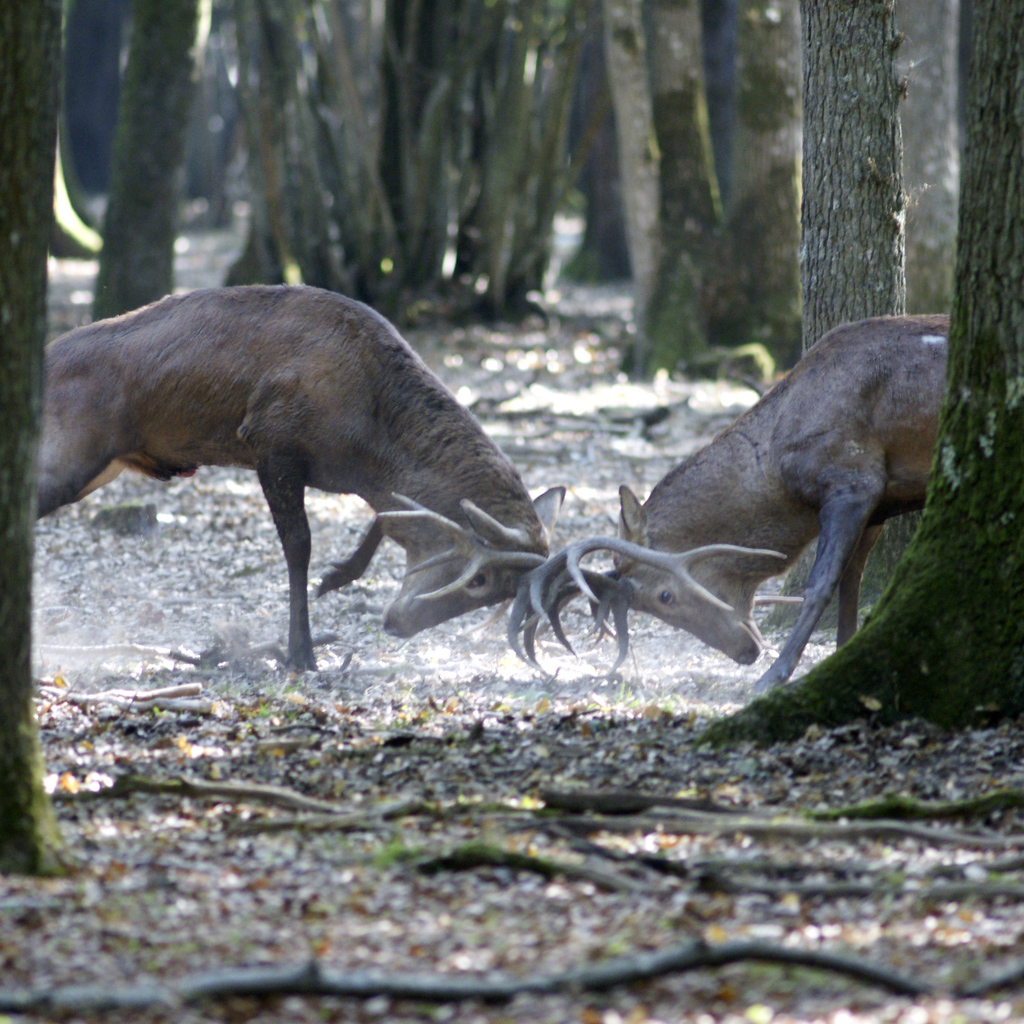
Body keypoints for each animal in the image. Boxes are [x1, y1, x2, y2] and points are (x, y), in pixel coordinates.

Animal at [39, 286, 565, 671]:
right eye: (481, 581)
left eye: (498, 593)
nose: (399, 623)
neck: (368, 451)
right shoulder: (272, 440)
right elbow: (299, 545)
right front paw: (301, 654)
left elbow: (386, 517)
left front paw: (337, 576)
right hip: (70, 455)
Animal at [512, 315, 950, 692]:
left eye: (664, 596)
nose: (745, 653)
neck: (778, 470)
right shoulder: (879, 505)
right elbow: (851, 588)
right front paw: (842, 655)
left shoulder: (854, 480)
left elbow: (821, 585)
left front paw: (775, 676)